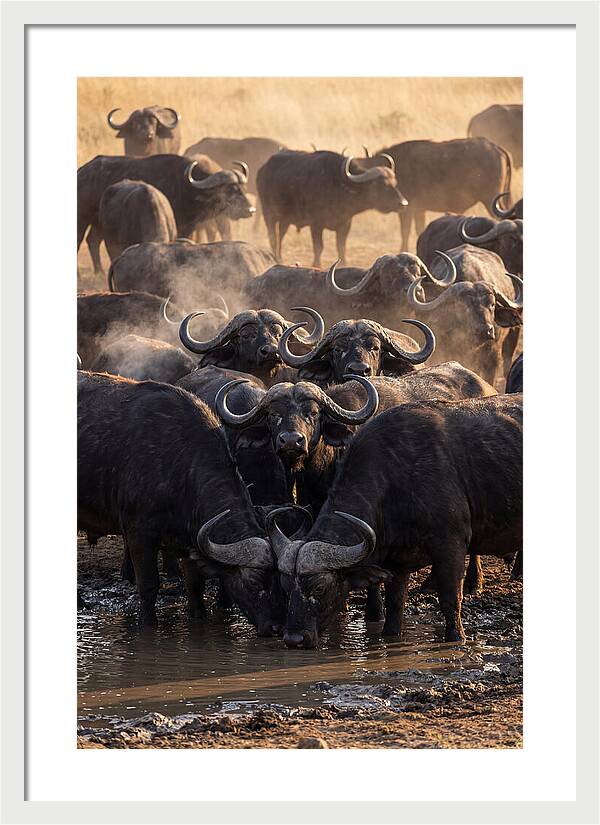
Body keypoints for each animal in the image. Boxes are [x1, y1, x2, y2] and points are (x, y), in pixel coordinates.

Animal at [78, 371, 279, 633]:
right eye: (254, 582)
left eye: (279, 580)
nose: (276, 627)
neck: (181, 465)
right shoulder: (139, 533)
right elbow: (149, 586)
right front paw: (148, 625)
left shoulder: (188, 540)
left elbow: (195, 586)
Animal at [256, 150, 407, 266]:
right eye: (380, 184)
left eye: (394, 183)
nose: (403, 203)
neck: (339, 186)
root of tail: (262, 170)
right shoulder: (316, 224)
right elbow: (319, 247)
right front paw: (316, 264)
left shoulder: (345, 224)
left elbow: (341, 246)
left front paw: (344, 263)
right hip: (268, 214)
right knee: (272, 237)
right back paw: (276, 258)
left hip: (285, 219)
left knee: (280, 235)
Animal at [272, 393, 522, 648]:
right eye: (285, 586)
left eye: (320, 587)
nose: (294, 639)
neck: (396, 480)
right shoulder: (397, 563)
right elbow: (394, 607)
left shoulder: (451, 545)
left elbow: (451, 600)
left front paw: (456, 638)